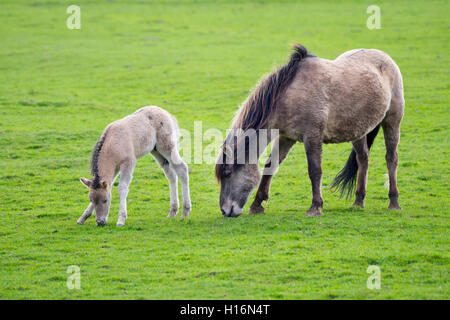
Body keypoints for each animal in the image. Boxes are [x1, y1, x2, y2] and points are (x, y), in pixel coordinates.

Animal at [214, 43, 404, 218]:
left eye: (228, 173)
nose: (225, 210)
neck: (289, 95)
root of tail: (385, 57)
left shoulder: (312, 136)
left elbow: (315, 170)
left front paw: (315, 207)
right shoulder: (286, 137)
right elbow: (270, 165)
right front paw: (257, 205)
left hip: (392, 120)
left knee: (391, 158)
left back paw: (394, 202)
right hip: (358, 130)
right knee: (363, 159)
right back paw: (358, 201)